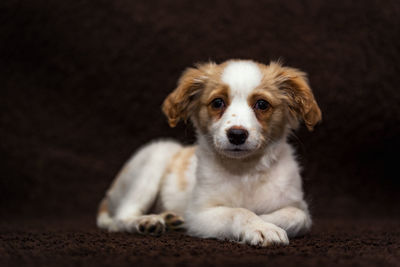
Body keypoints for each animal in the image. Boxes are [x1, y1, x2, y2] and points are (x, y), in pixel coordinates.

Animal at [97, 59, 322, 248]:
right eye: (217, 102)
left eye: (262, 104)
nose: (237, 135)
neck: (244, 171)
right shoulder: (199, 214)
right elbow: (237, 212)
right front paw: (260, 226)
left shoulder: (297, 206)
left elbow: (296, 216)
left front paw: (264, 220)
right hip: (157, 156)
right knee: (121, 217)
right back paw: (147, 221)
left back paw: (171, 219)